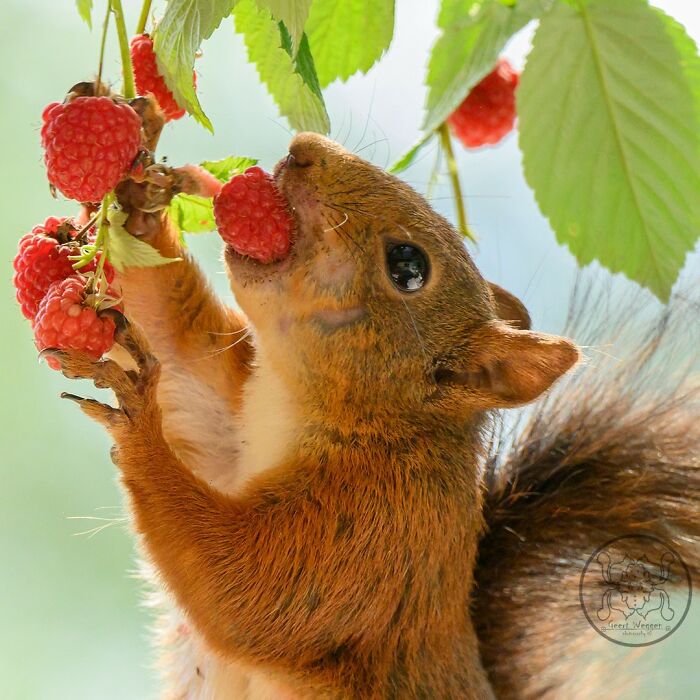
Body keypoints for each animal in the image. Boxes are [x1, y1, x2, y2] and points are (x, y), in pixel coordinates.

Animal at [47, 132, 700, 700]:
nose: (303, 149)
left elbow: (245, 587)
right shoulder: (227, 422)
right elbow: (177, 346)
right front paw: (139, 205)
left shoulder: (376, 529)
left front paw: (140, 423)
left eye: (408, 265)